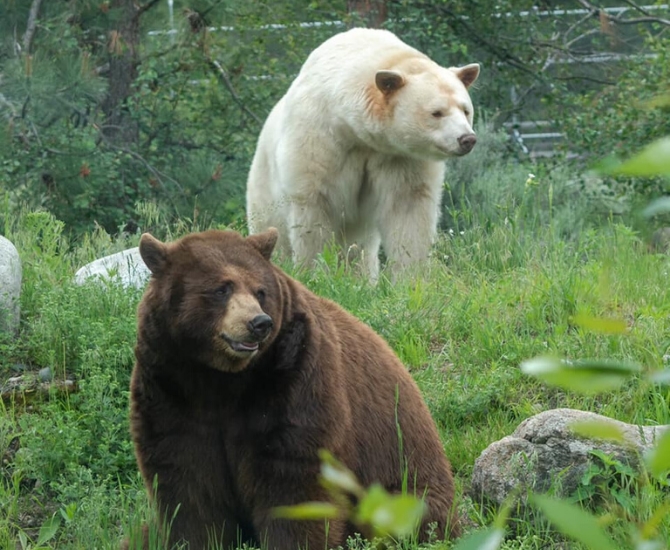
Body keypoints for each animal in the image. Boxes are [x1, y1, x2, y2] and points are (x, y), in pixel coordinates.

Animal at [126, 229, 462, 550]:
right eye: (222, 289)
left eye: (260, 291)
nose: (259, 323)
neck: (222, 379)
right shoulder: (171, 386)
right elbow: (187, 480)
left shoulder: (293, 376)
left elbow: (293, 476)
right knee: (139, 535)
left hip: (401, 484)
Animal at [249, 25, 480, 280]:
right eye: (436, 112)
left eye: (465, 109)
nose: (467, 139)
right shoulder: (321, 139)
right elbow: (314, 209)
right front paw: (314, 272)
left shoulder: (399, 157)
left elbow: (408, 209)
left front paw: (412, 276)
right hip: (264, 185)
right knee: (272, 229)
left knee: (359, 247)